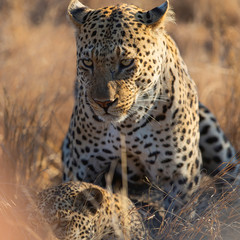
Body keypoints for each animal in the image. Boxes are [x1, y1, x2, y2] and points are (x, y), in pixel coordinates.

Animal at [61, 0, 238, 217]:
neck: (127, 126)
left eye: (126, 62)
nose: (103, 103)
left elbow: (178, 218)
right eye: (88, 63)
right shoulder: (81, 168)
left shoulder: (180, 177)